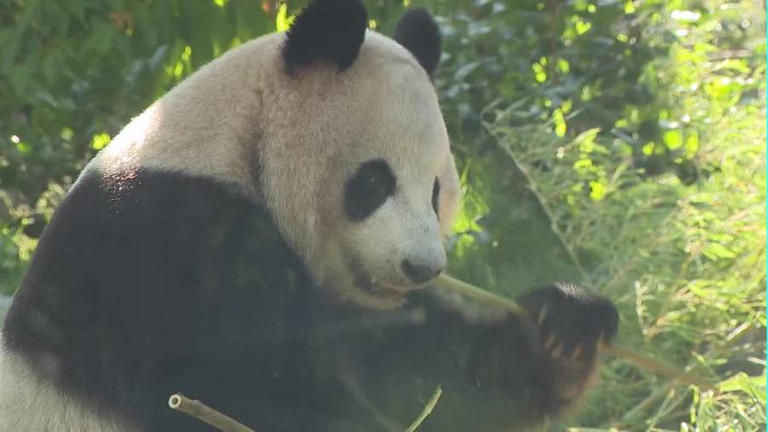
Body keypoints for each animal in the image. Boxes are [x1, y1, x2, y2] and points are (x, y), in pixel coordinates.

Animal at [0, 1, 616, 430]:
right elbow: (265, 394)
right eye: (375, 182)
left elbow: (432, 375)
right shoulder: (173, 249)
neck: (234, 148)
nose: (423, 269)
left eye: (437, 190)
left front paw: (565, 326)